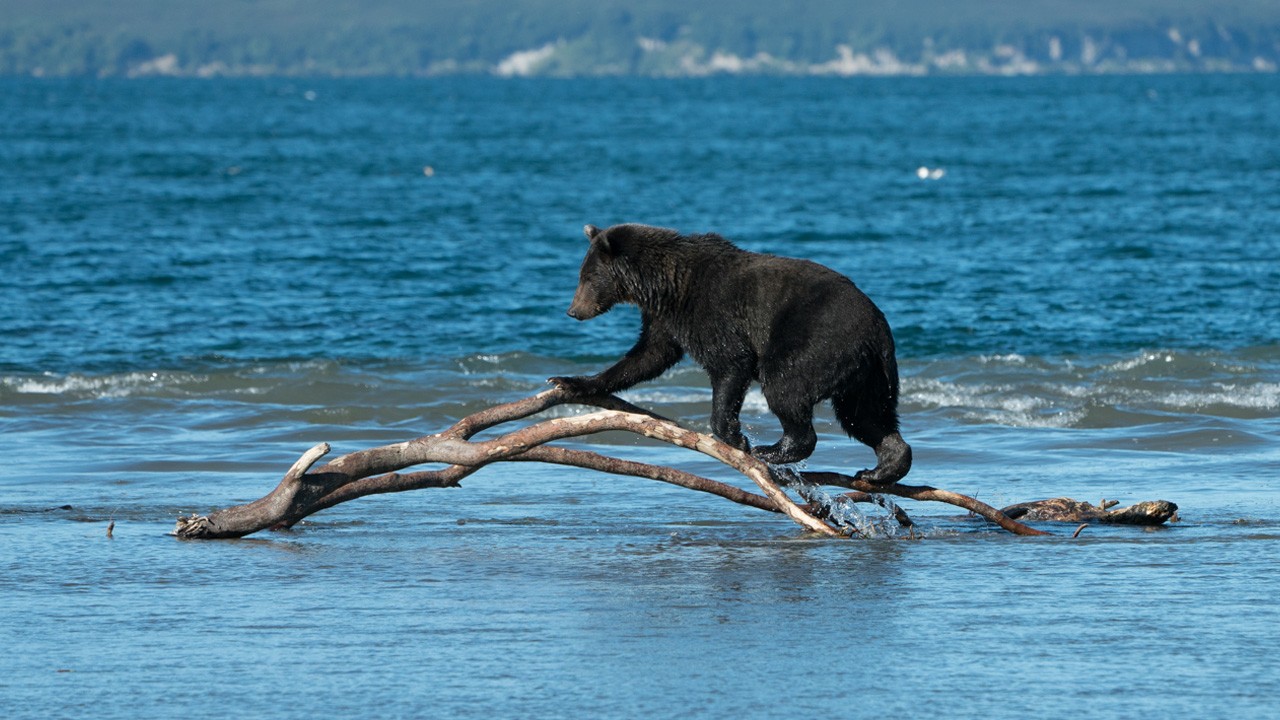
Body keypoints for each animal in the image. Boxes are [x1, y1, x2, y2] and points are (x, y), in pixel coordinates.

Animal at [547, 221, 911, 484]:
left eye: (588, 276)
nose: (573, 311)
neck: (666, 285)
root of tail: (877, 326)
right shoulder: (665, 319)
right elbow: (647, 357)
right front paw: (571, 381)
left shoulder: (712, 310)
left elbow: (730, 362)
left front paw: (736, 438)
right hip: (871, 373)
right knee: (864, 415)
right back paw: (882, 467)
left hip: (817, 338)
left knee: (784, 385)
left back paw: (773, 449)